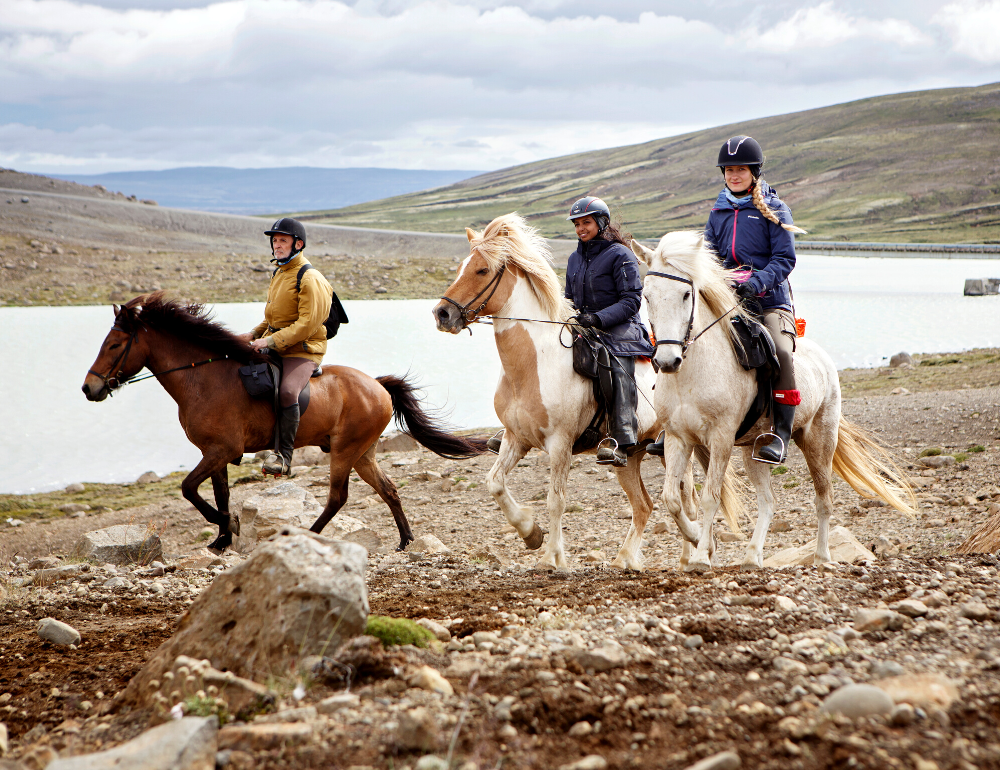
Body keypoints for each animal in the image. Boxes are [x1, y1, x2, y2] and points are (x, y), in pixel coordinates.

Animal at [80, 292, 486, 552]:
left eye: (114, 345)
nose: (89, 388)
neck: (204, 379)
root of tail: (377, 386)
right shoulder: (215, 453)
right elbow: (218, 495)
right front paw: (222, 539)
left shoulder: (221, 450)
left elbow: (188, 488)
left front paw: (230, 529)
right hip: (364, 452)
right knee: (388, 490)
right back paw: (404, 540)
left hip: (345, 450)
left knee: (338, 497)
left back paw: (308, 534)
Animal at [430, 213, 744, 568]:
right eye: (461, 267)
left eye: (482, 270)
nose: (442, 313)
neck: (534, 363)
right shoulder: (515, 439)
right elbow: (494, 483)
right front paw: (530, 532)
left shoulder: (560, 443)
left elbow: (555, 500)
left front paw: (552, 558)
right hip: (630, 456)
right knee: (644, 505)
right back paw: (625, 558)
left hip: (673, 446)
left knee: (685, 499)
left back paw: (690, 554)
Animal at [632, 231, 916, 568]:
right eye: (647, 296)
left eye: (686, 294)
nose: (667, 361)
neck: (692, 373)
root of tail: (823, 359)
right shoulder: (679, 438)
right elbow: (672, 500)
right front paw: (699, 540)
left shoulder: (721, 438)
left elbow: (710, 497)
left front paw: (701, 556)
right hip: (753, 451)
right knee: (768, 502)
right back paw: (752, 556)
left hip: (818, 442)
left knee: (824, 499)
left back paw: (822, 556)